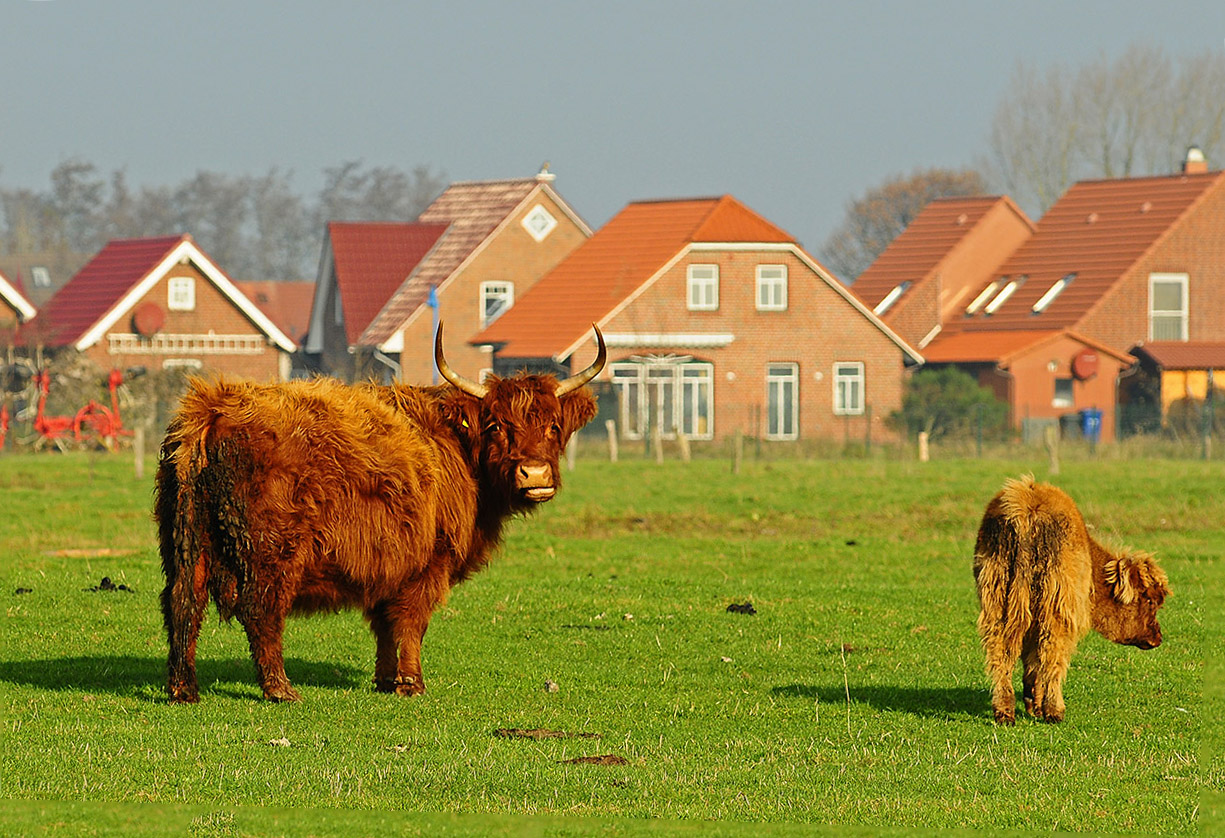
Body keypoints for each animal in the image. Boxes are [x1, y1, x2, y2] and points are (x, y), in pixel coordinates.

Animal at [158, 323, 607, 705]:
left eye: (553, 426)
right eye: (496, 425)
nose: (535, 474)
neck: (458, 449)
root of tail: (213, 407)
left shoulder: (387, 564)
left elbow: (385, 625)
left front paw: (385, 679)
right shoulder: (427, 564)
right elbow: (410, 623)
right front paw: (411, 683)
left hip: (186, 543)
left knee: (183, 603)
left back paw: (183, 689)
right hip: (271, 554)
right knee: (260, 611)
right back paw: (281, 690)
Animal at [975, 475, 1166, 725]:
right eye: (1151, 601)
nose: (1158, 637)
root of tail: (1026, 511)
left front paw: (1032, 703)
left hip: (998, 603)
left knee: (1001, 651)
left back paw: (1005, 712)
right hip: (1055, 610)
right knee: (1052, 653)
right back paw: (1054, 711)